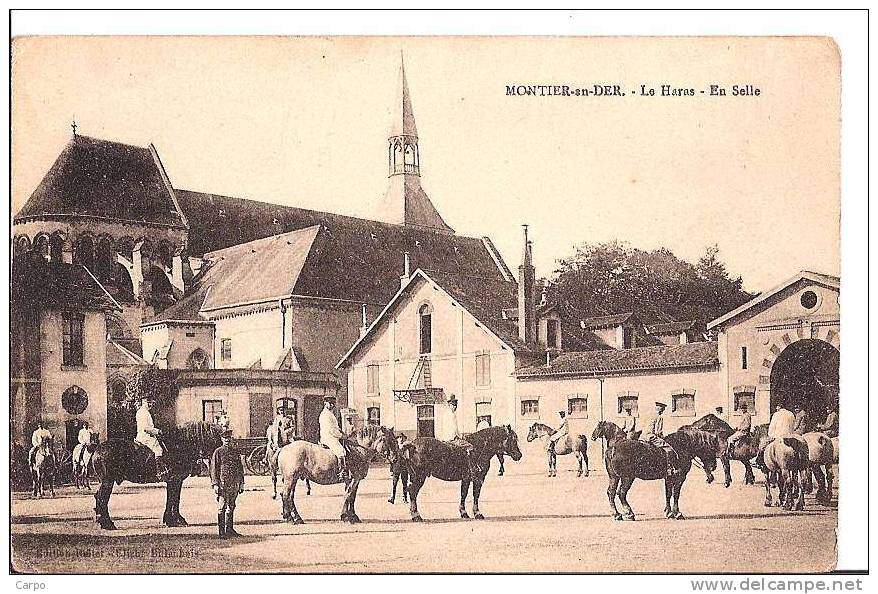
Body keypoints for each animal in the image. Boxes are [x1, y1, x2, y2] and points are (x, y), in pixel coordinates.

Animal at [91, 418, 223, 528]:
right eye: (217, 440)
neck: (180, 445)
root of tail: (97, 450)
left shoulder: (174, 480)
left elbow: (173, 499)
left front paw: (172, 520)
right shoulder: (174, 480)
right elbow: (173, 499)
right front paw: (174, 521)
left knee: (99, 497)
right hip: (108, 481)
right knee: (102, 498)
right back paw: (107, 524)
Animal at [592, 416, 720, 520]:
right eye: (711, 447)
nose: (713, 466)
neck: (682, 446)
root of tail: (613, 448)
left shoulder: (668, 478)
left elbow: (668, 494)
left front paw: (669, 512)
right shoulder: (679, 477)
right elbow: (675, 494)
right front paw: (677, 513)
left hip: (614, 477)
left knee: (611, 492)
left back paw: (617, 514)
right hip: (627, 477)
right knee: (621, 493)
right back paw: (629, 513)